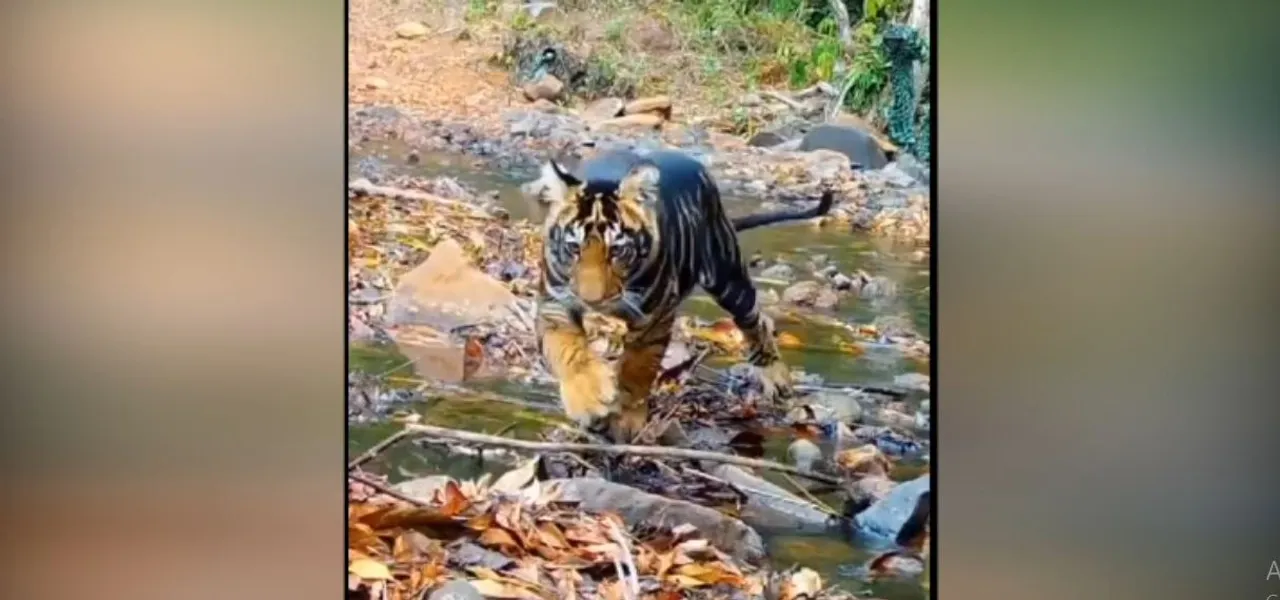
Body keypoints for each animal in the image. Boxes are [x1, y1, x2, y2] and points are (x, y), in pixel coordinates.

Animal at [535, 148, 835, 442]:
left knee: (755, 320)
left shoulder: (654, 317)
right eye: (574, 248)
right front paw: (589, 401)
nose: (592, 300)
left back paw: (776, 378)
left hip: (727, 277)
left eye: (617, 250)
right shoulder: (555, 304)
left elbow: (637, 369)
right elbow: (571, 352)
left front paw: (626, 421)